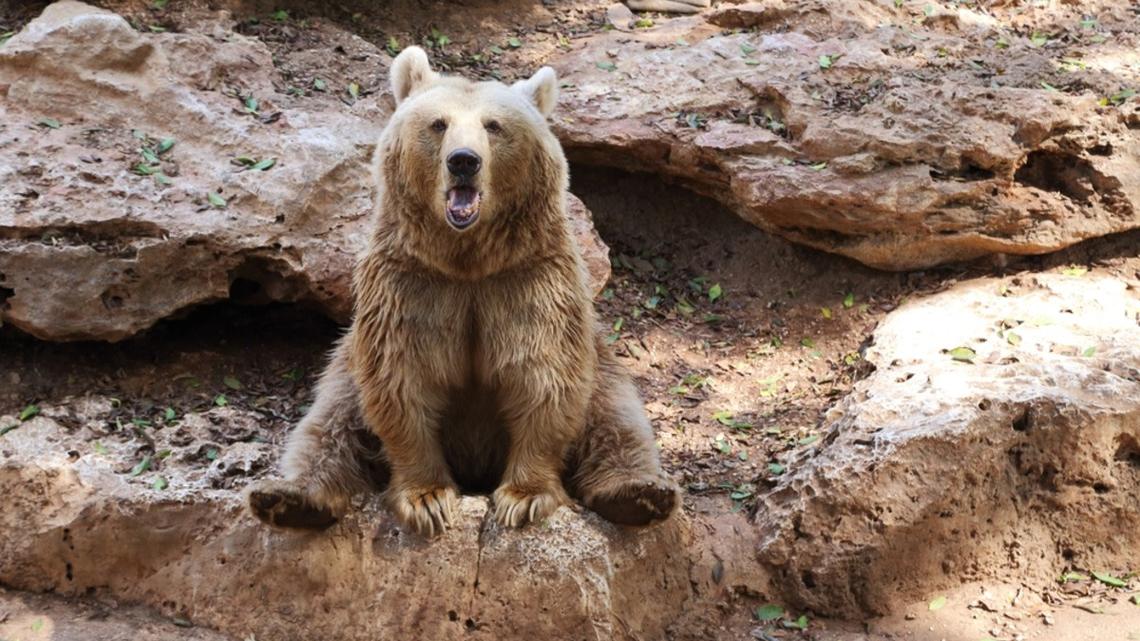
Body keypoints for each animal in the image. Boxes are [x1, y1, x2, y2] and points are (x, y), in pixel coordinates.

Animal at [246, 46, 679, 536]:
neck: (467, 259)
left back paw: (639, 495)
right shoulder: (412, 285)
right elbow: (401, 379)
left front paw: (523, 497)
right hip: (346, 358)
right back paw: (290, 499)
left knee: (616, 417)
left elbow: (543, 379)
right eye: (438, 124)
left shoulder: (527, 283)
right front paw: (428, 498)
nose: (464, 161)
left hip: (600, 356)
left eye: (494, 125)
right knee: (329, 419)